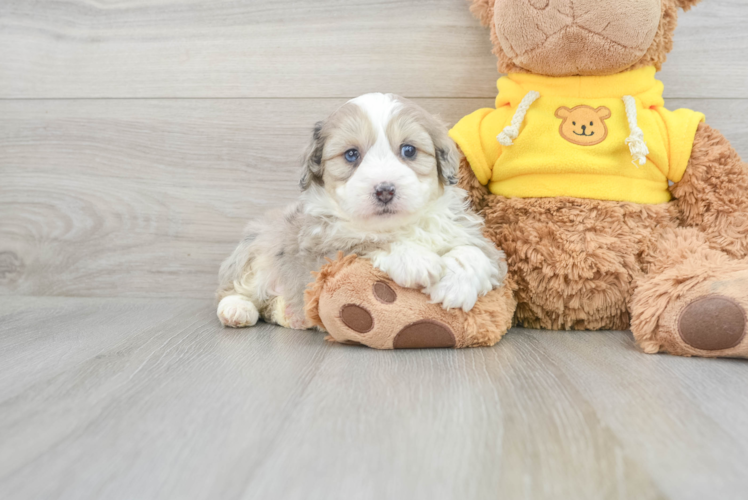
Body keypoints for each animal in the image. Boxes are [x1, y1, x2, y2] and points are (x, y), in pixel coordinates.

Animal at [216, 93, 508, 330]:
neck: (400, 225)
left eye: (409, 150)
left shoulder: (475, 237)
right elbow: (366, 242)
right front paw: (416, 260)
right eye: (351, 154)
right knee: (235, 287)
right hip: (255, 251)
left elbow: (474, 251)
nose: (385, 190)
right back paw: (237, 309)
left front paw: (456, 285)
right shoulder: (319, 254)